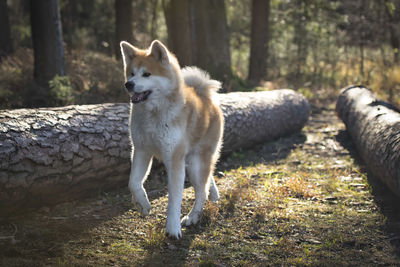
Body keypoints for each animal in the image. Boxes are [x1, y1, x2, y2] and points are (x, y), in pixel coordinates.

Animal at [119, 39, 225, 239]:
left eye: (146, 74)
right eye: (131, 73)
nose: (128, 84)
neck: (153, 114)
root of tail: (205, 95)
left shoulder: (174, 159)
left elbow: (174, 200)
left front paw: (173, 228)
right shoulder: (141, 150)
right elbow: (133, 182)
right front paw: (142, 204)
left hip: (196, 163)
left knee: (202, 191)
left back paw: (192, 217)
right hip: (193, 161)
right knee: (208, 180)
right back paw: (214, 195)